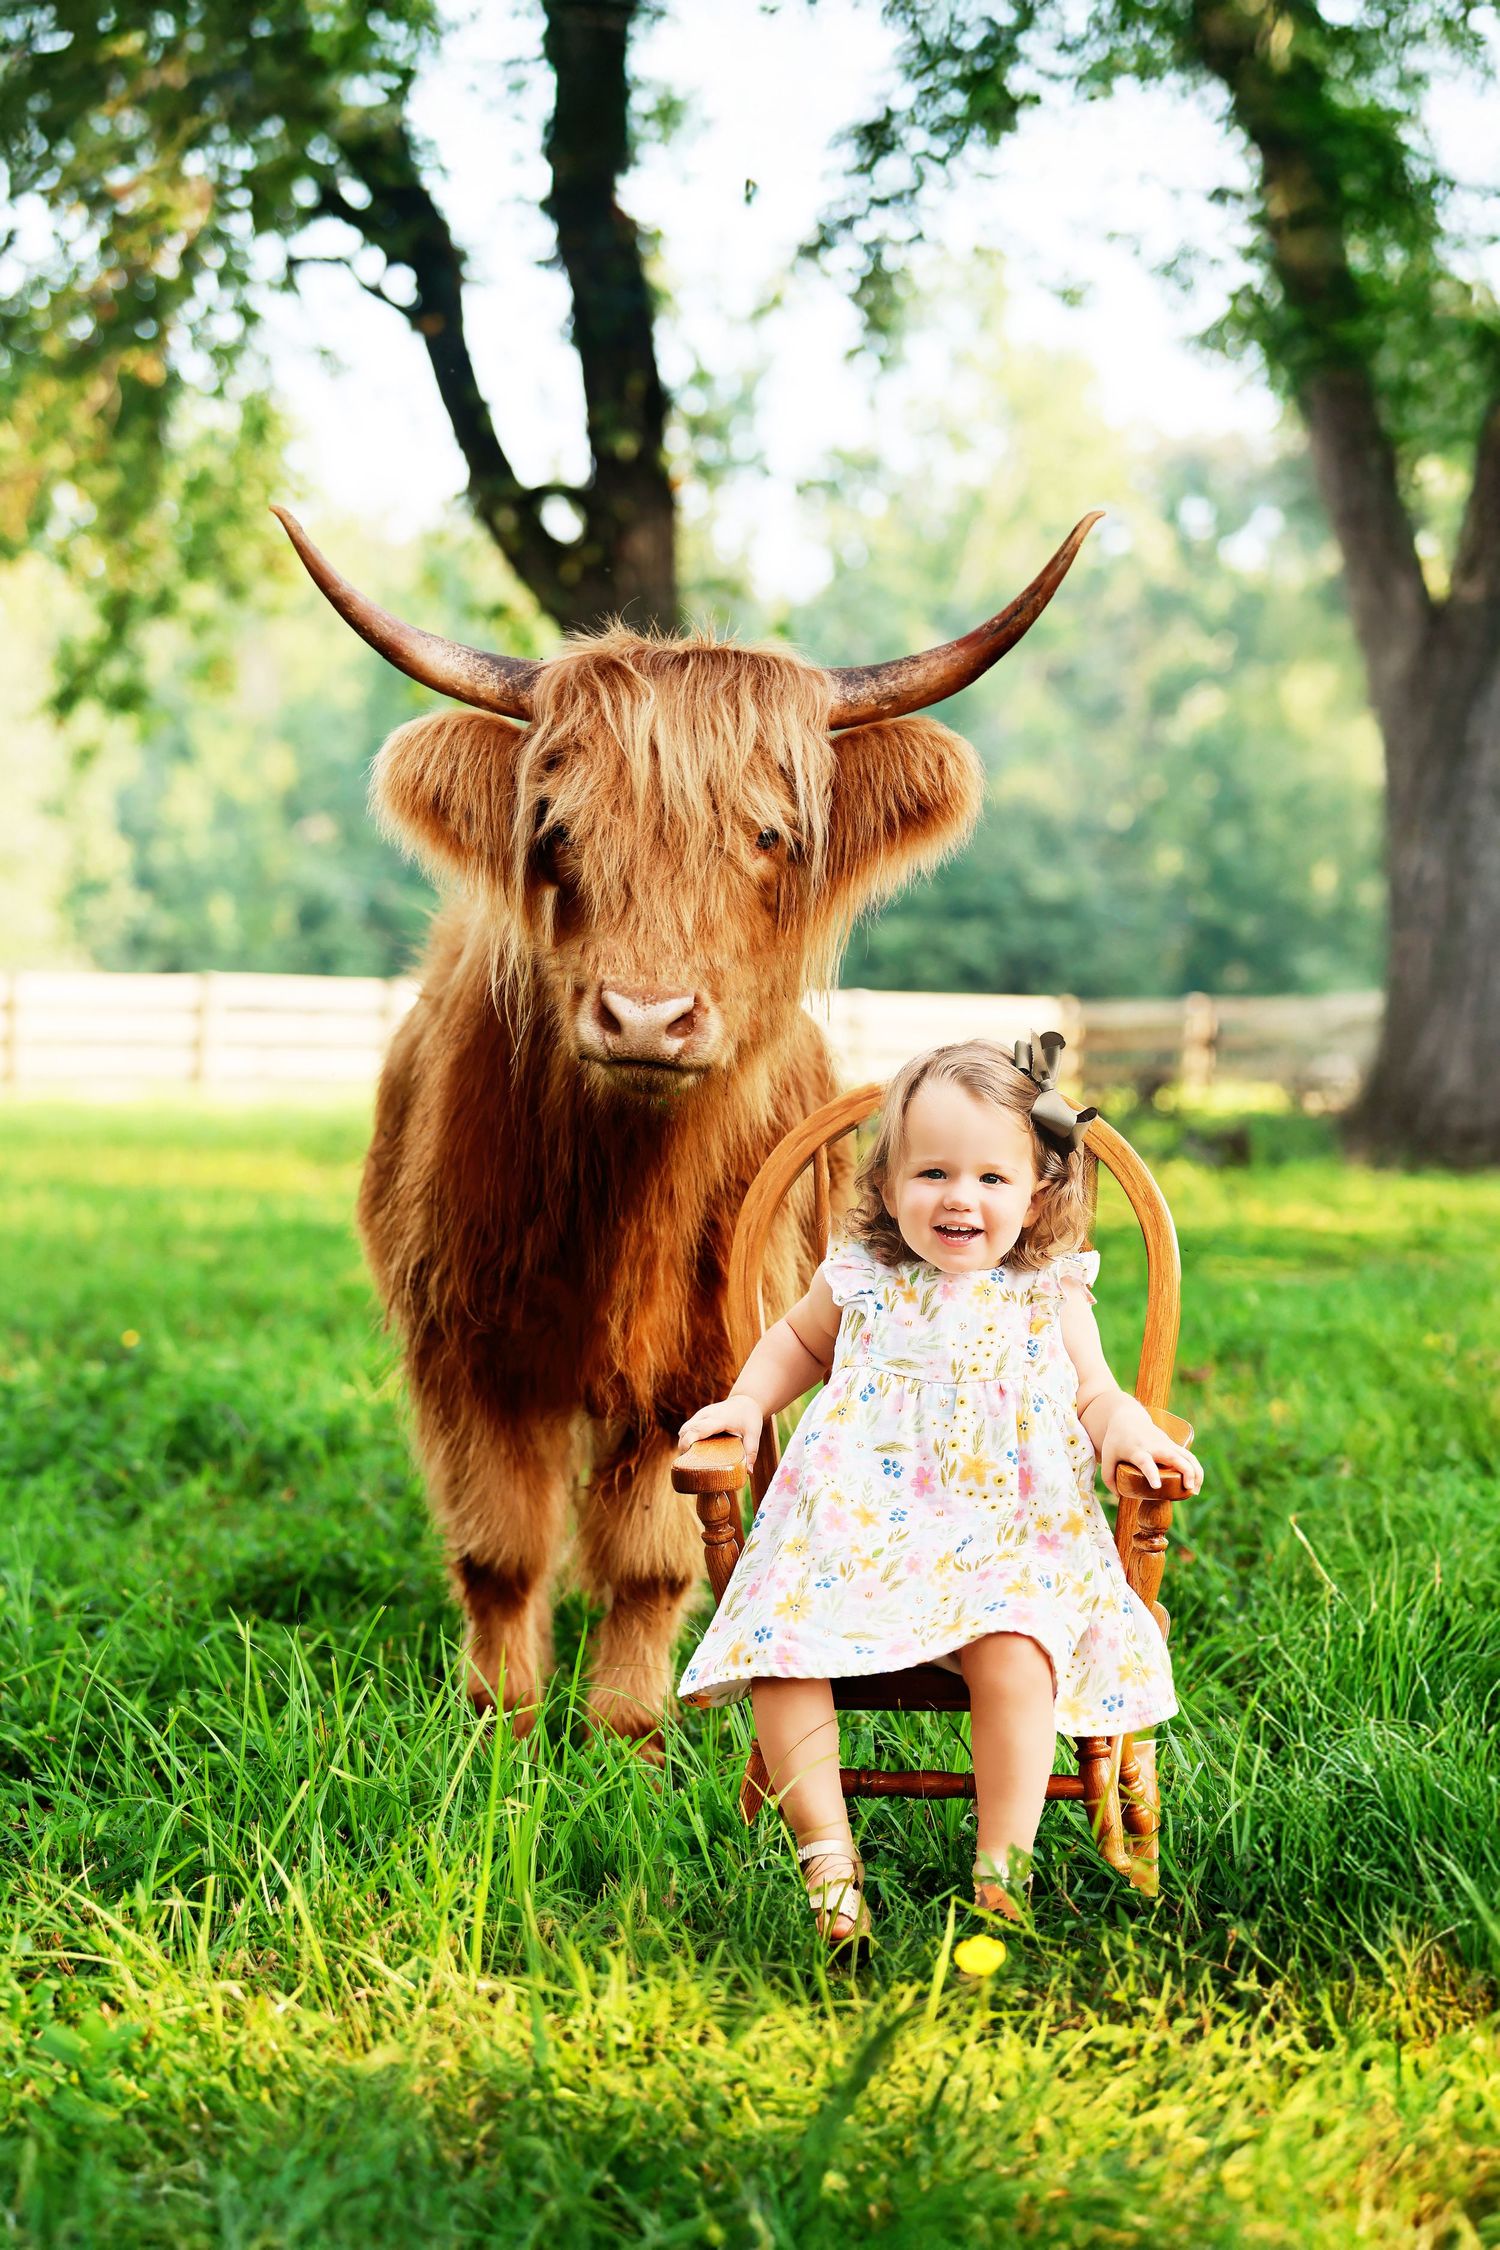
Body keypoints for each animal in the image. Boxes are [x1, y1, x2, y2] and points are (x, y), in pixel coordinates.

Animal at [274, 507, 1100, 1745]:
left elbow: (651, 1556)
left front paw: (628, 1731)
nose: (647, 1016)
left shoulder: (703, 1357)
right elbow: (500, 1548)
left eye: (767, 836)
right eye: (556, 830)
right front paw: (500, 1722)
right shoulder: (463, 1341)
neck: (619, 1199)